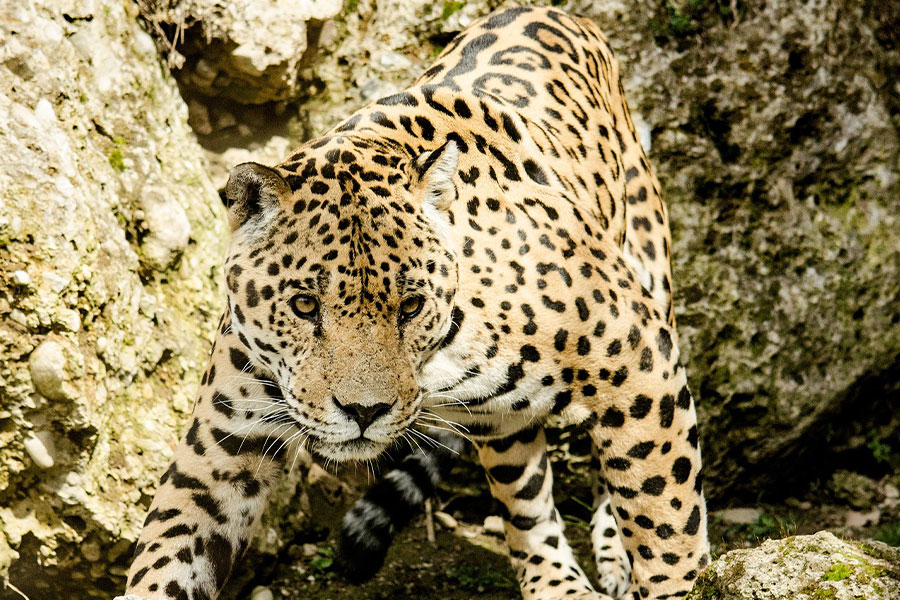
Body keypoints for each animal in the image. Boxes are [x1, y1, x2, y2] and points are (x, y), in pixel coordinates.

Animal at [116, 6, 710, 600]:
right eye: (304, 305)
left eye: (410, 306)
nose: (364, 413)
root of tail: (561, 12)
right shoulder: (220, 454)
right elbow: (168, 553)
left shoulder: (639, 360)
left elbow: (666, 518)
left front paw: (678, 581)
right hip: (500, 418)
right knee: (525, 497)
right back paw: (556, 584)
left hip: (650, 270)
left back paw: (612, 555)